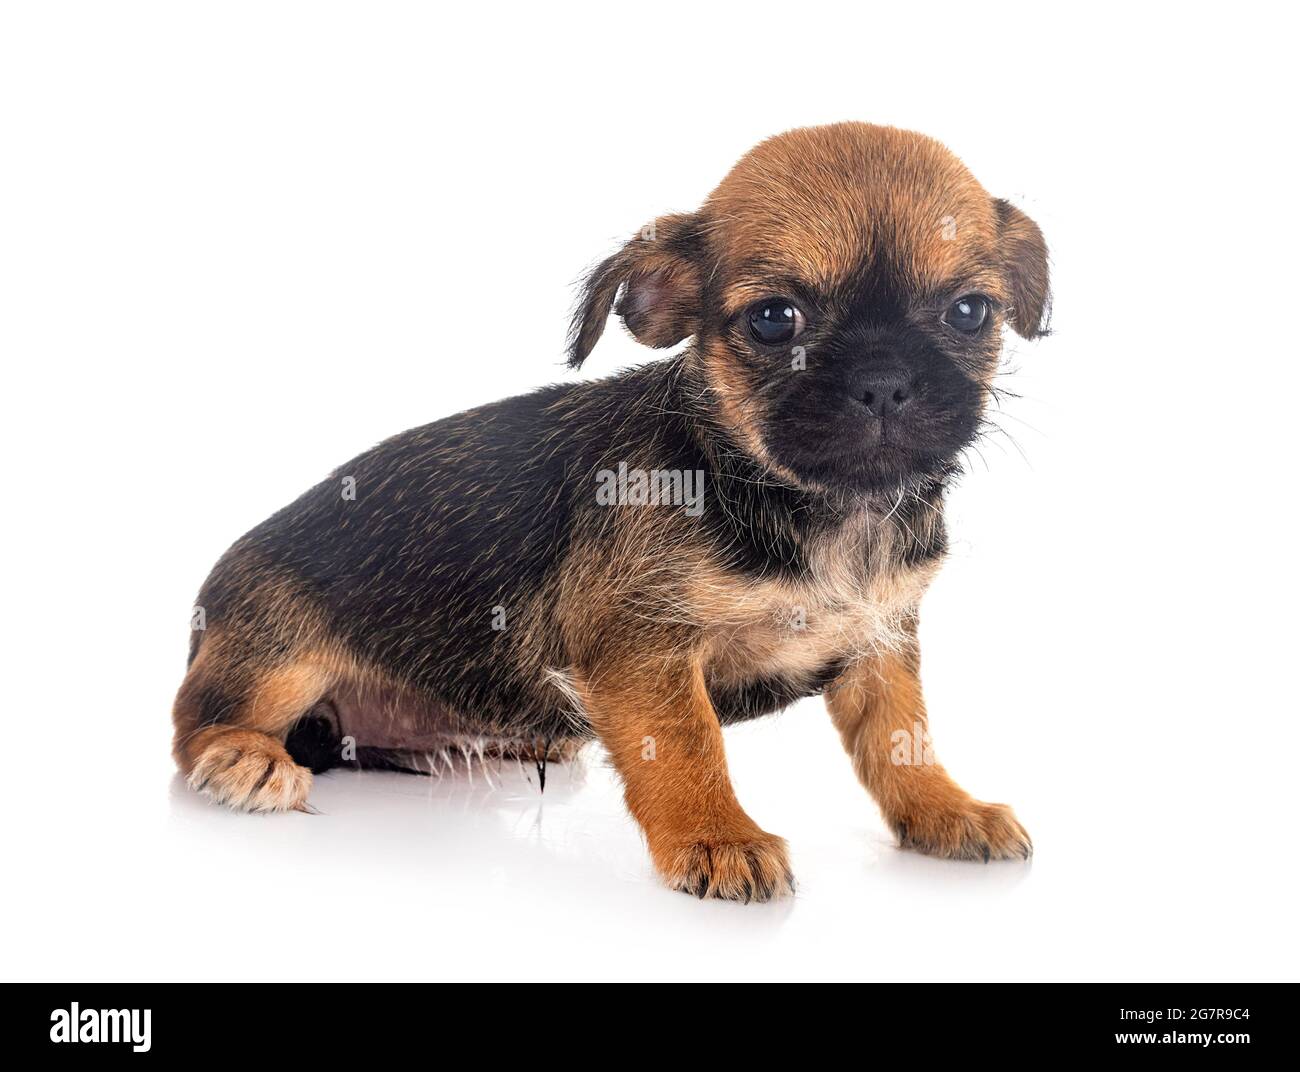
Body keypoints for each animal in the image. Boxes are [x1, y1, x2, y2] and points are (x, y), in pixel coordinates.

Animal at [172, 121, 1045, 899]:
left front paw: (945, 810)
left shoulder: (880, 643)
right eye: (774, 319)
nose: (885, 382)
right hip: (279, 657)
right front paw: (717, 836)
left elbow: (902, 741)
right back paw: (243, 757)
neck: (813, 504)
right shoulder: (642, 650)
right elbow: (689, 745)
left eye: (971, 312)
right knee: (190, 723)